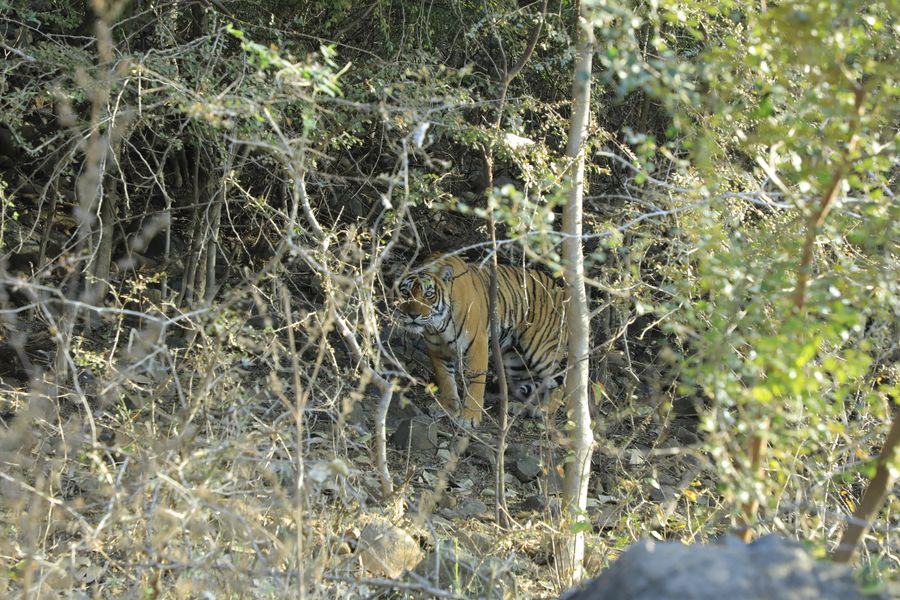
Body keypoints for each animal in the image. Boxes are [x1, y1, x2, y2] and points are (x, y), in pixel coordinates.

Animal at [394, 253, 567, 428]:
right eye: (406, 292)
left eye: (428, 294)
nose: (413, 315)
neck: (438, 325)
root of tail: (559, 289)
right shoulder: (437, 349)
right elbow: (446, 379)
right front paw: (449, 408)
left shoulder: (477, 344)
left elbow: (476, 383)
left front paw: (469, 418)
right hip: (515, 360)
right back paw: (519, 406)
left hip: (541, 348)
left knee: (560, 379)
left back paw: (545, 409)